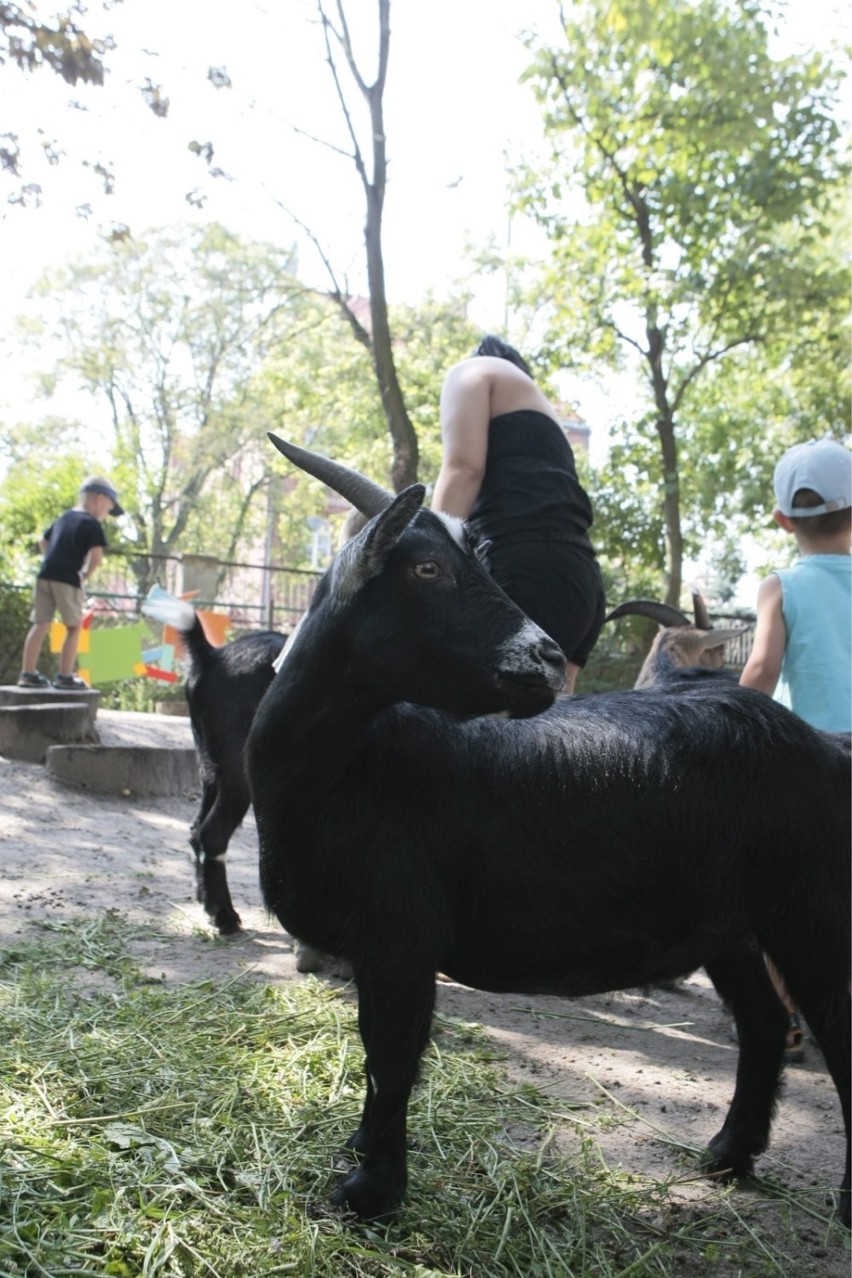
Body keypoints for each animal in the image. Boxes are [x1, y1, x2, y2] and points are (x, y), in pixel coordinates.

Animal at [247, 434, 852, 1221]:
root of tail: (825, 747)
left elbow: (391, 1054)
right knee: (762, 1023)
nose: (545, 658)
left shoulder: (401, 933)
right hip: (732, 924)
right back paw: (727, 1155)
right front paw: (360, 1157)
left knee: (836, 1031)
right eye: (428, 567)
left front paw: (370, 1192)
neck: (355, 763)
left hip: (812, 910)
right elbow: (380, 1052)